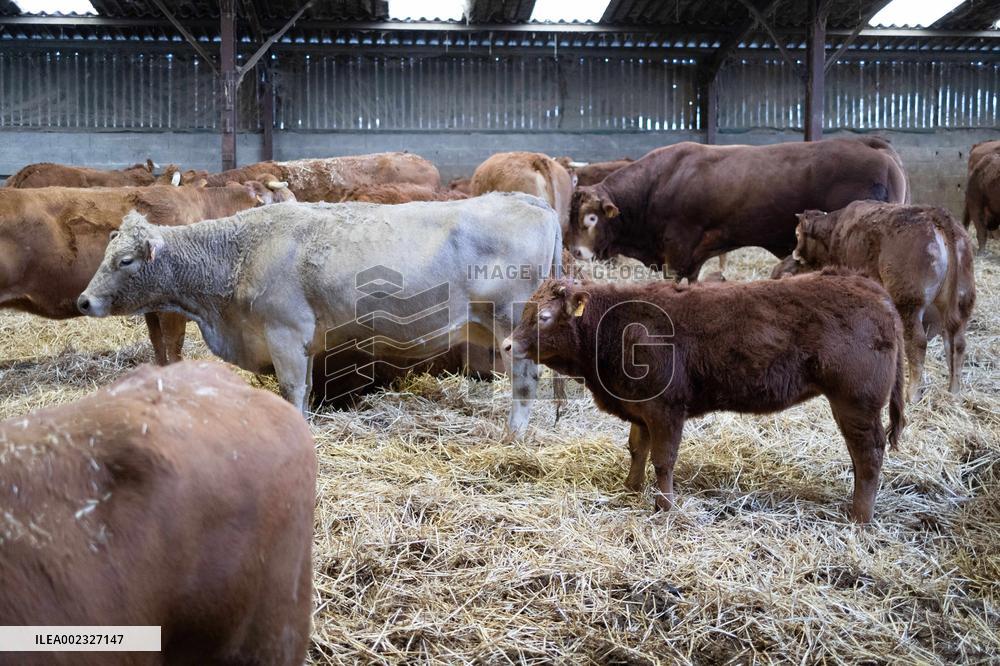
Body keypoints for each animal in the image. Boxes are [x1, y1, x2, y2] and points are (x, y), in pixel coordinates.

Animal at [78, 193, 562, 437]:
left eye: (125, 261)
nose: (84, 301)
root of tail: (530, 201)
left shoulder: (284, 333)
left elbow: (292, 389)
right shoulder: (304, 341)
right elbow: (307, 388)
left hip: (511, 323)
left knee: (525, 382)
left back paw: (514, 435)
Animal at [503, 269, 905, 523]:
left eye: (543, 317)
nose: (507, 345)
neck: (617, 326)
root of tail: (873, 290)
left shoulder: (665, 409)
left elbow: (663, 459)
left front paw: (664, 507)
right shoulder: (640, 407)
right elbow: (637, 448)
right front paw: (631, 488)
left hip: (856, 401)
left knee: (869, 454)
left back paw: (859, 517)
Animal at [567, 136, 910, 281]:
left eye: (592, 217)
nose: (576, 252)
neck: (656, 183)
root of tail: (872, 146)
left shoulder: (677, 249)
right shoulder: (692, 258)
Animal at [785, 201, 975, 401]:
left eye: (797, 234)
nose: (795, 253)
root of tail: (937, 216)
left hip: (909, 302)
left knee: (918, 342)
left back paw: (913, 393)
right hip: (961, 301)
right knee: (956, 342)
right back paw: (954, 391)